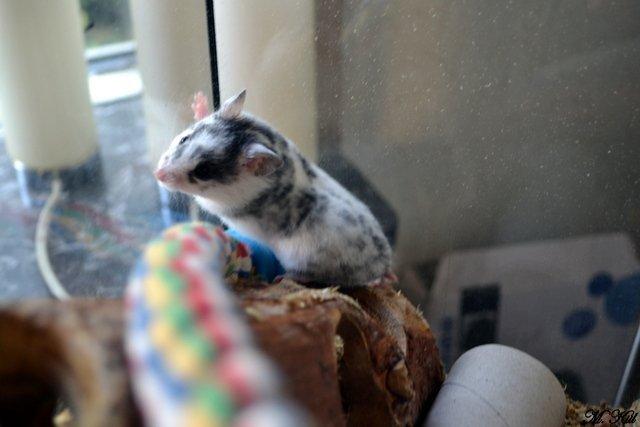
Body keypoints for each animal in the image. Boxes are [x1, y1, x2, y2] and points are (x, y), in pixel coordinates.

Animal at [154, 90, 392, 287]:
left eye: (204, 170)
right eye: (184, 139)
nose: (157, 175)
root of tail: (383, 267)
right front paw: (199, 101)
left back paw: (282, 277)